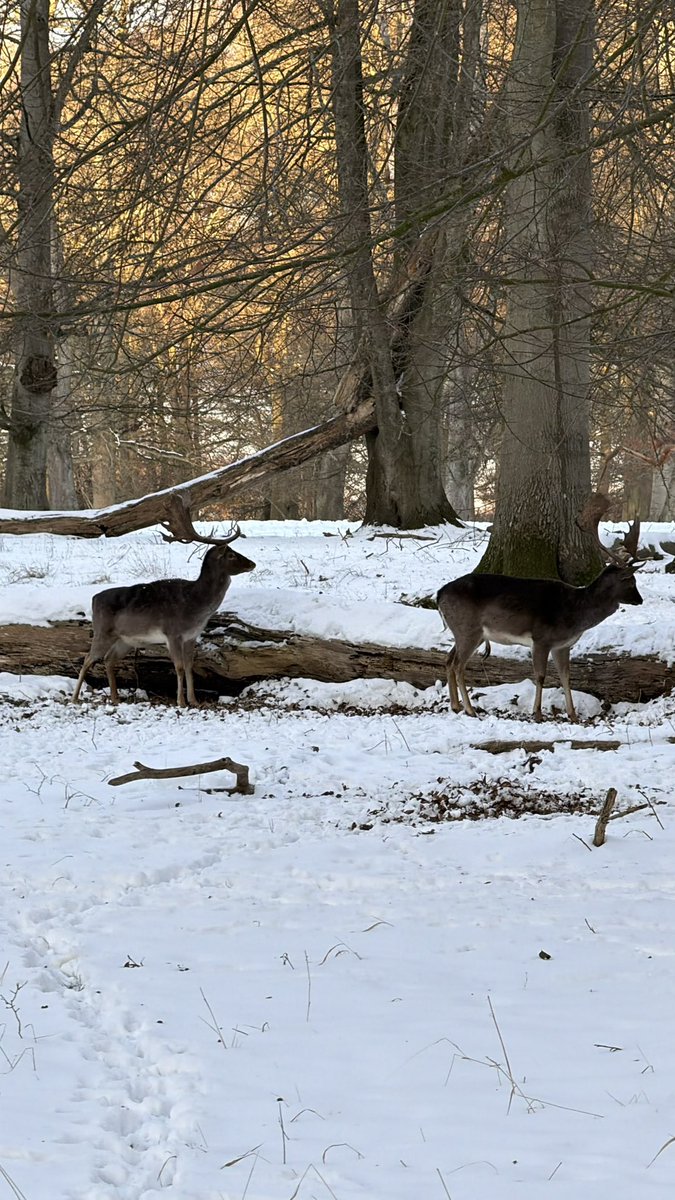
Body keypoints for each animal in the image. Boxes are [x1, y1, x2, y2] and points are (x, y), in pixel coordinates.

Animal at [72, 496, 256, 707]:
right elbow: (179, 667)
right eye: (231, 554)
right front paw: (181, 702)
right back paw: (75, 697)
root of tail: (94, 599)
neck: (196, 605)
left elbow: (190, 666)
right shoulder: (173, 632)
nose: (252, 564)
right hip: (102, 631)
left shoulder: (192, 636)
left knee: (109, 659)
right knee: (88, 658)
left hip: (125, 639)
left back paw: (115, 697)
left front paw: (194, 700)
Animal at [436, 510, 644, 722]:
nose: (640, 600)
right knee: (458, 665)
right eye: (631, 581)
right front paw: (537, 713)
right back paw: (470, 710)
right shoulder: (541, 639)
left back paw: (455, 706)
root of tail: (439, 594)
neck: (575, 612)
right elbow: (540, 676)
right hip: (468, 629)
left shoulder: (562, 645)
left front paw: (573, 715)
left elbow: (565, 676)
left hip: (466, 633)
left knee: (448, 660)